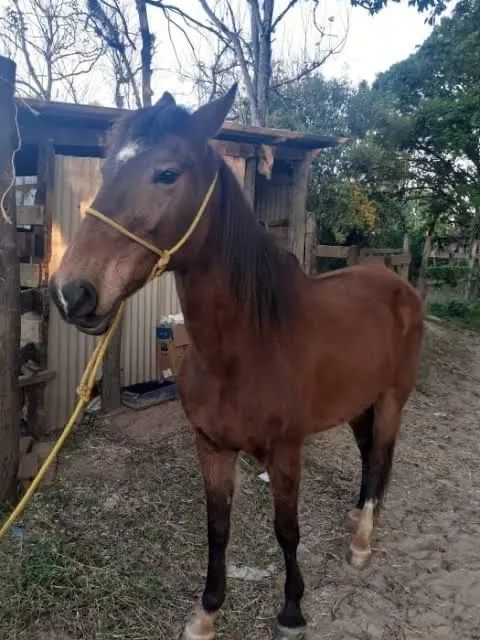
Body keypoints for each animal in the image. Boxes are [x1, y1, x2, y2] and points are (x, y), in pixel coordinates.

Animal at [50, 85, 423, 640]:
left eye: (167, 173)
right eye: (106, 169)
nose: (72, 292)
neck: (242, 351)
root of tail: (396, 282)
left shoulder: (286, 452)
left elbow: (287, 531)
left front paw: (291, 610)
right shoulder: (212, 447)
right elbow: (217, 529)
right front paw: (206, 613)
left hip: (393, 399)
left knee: (379, 457)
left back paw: (362, 542)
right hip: (359, 404)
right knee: (366, 457)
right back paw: (357, 519)